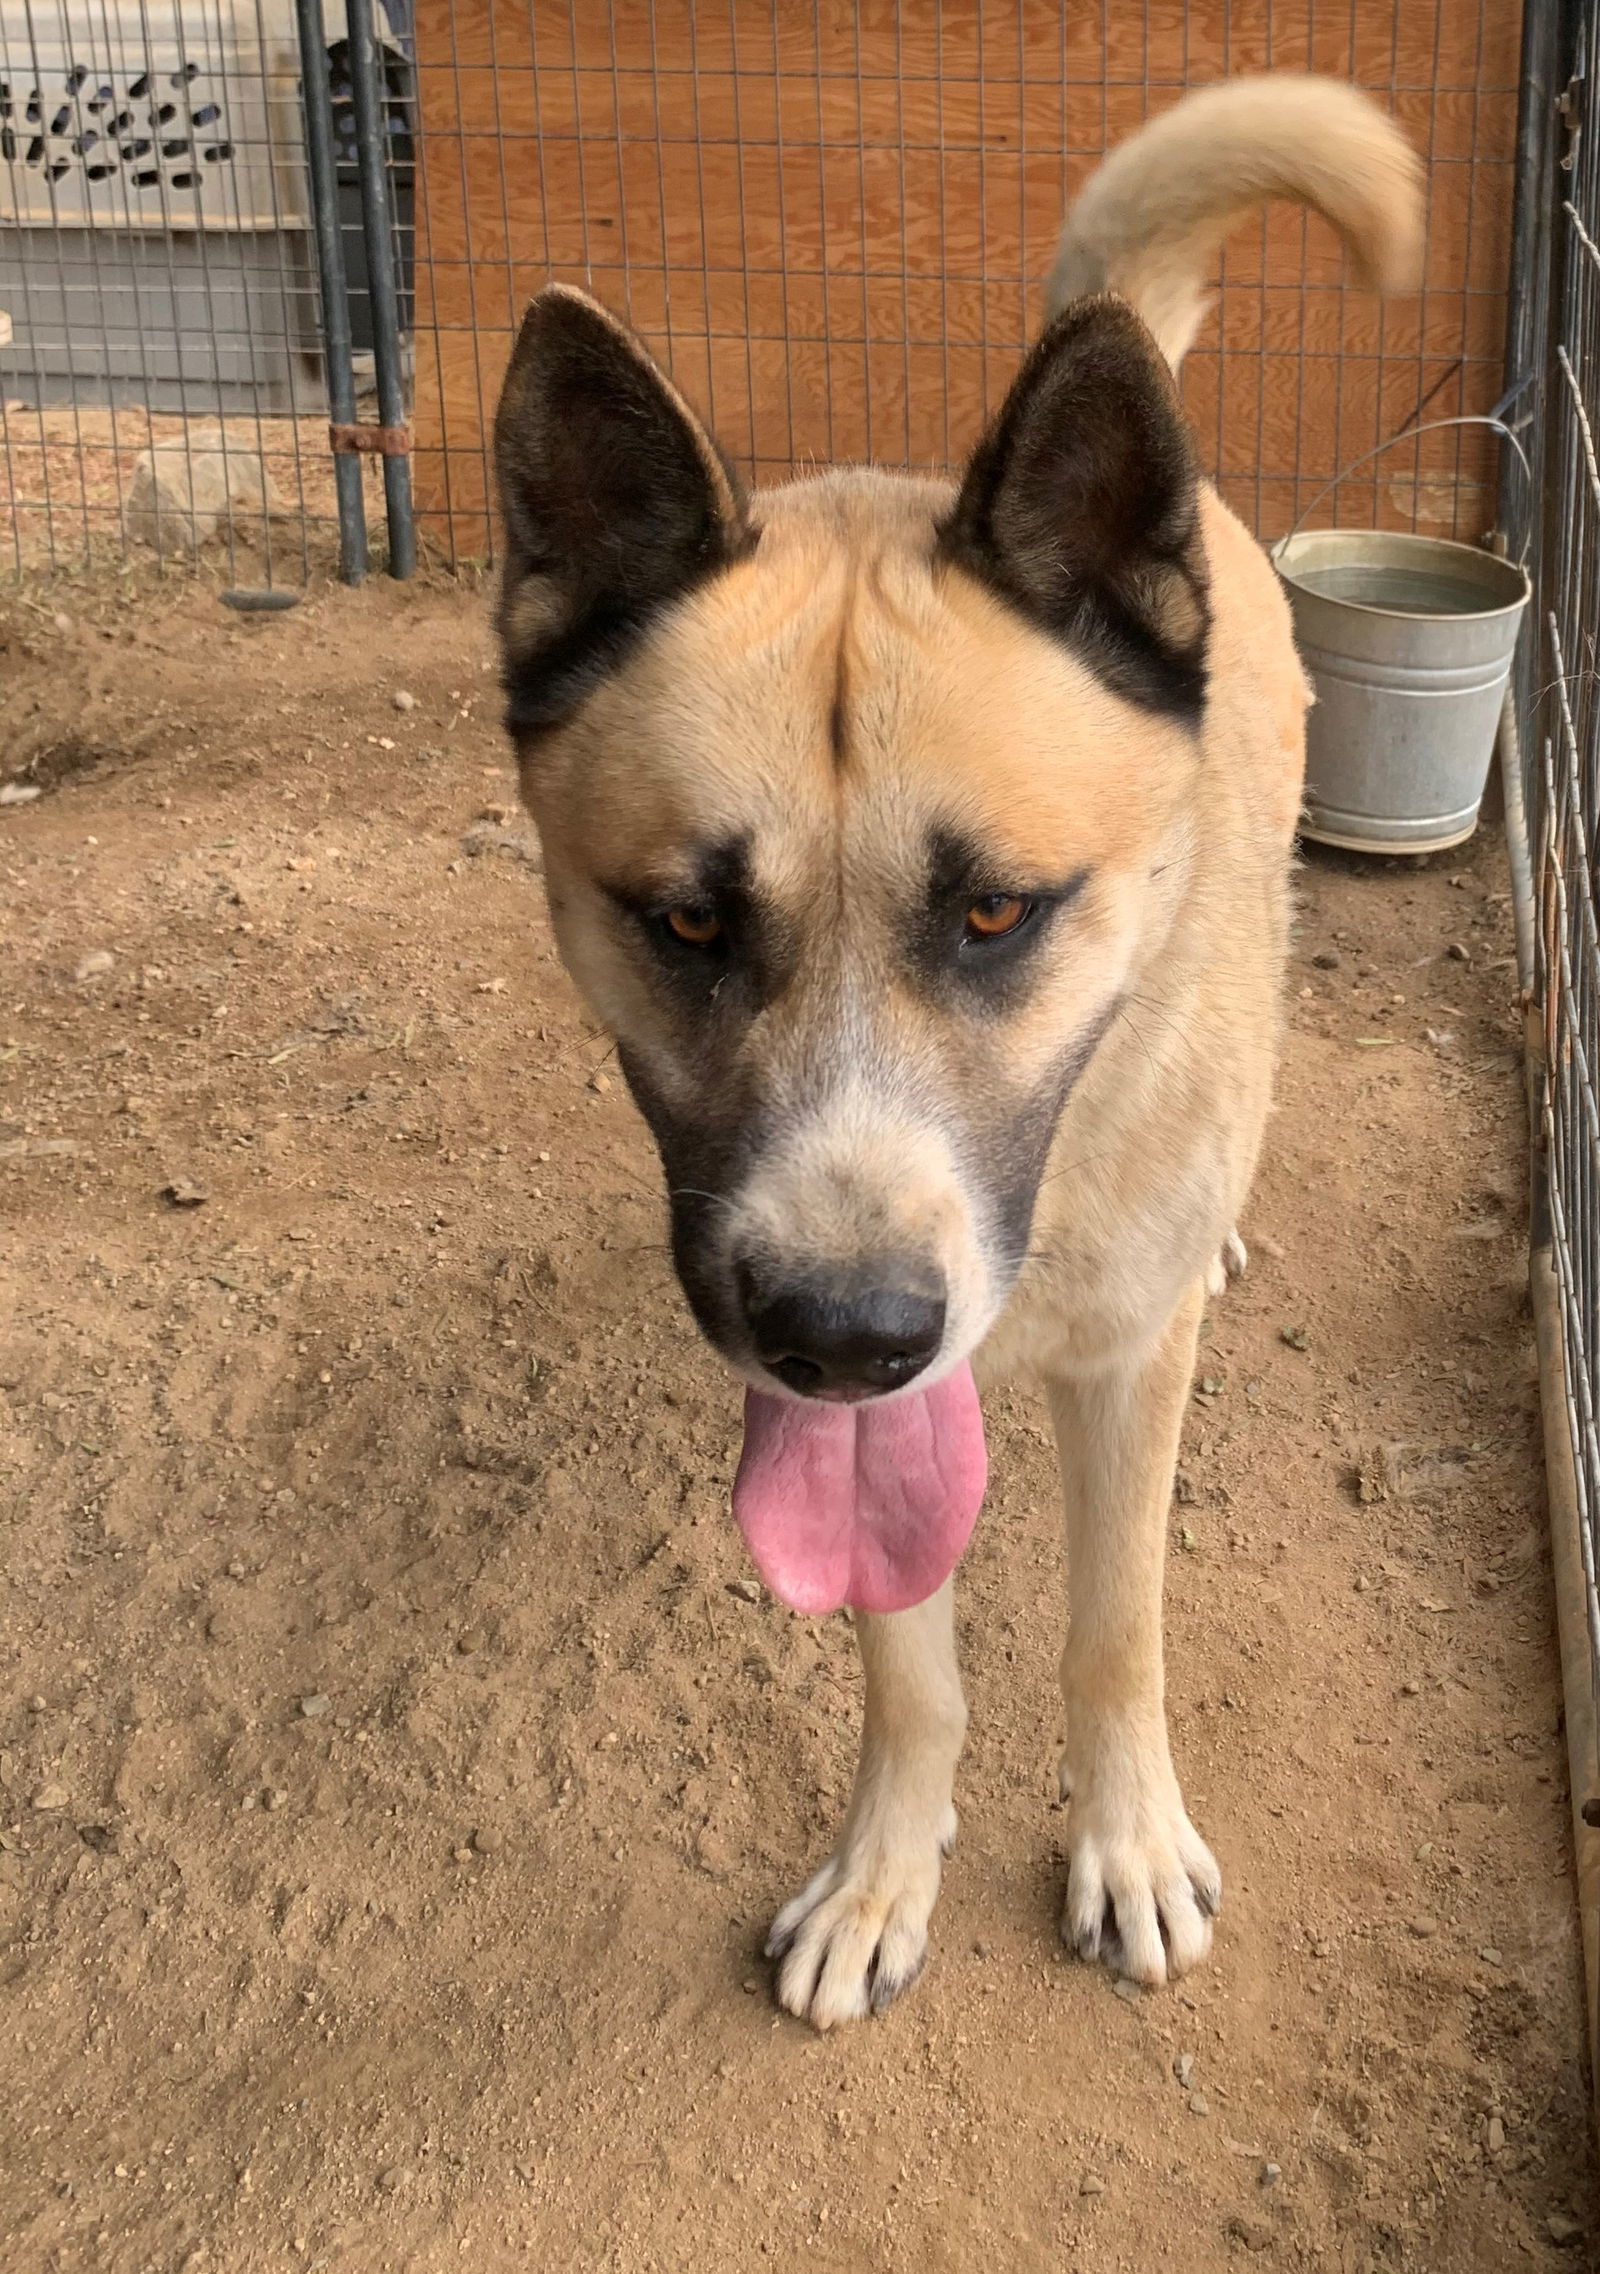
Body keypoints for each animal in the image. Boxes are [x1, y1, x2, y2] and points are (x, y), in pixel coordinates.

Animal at [493, 75, 1418, 2028]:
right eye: (685, 921)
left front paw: (1127, 1842)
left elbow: (1114, 1632)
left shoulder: (1127, 1368)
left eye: (997, 910)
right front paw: (881, 1875)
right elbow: (907, 1666)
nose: (846, 1336)